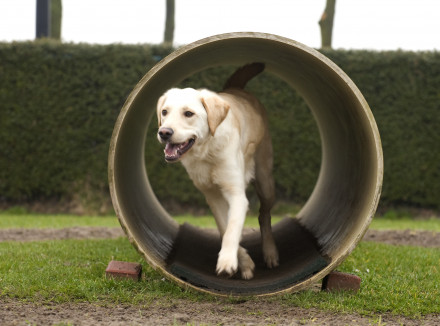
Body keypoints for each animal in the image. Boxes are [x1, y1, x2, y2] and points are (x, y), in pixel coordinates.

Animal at [156, 63, 276, 280]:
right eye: (164, 112)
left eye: (188, 113)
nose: (164, 132)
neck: (207, 150)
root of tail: (236, 89)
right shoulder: (212, 195)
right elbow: (224, 227)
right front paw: (244, 263)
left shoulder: (236, 194)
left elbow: (232, 229)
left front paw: (227, 261)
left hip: (265, 182)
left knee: (264, 215)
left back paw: (270, 253)